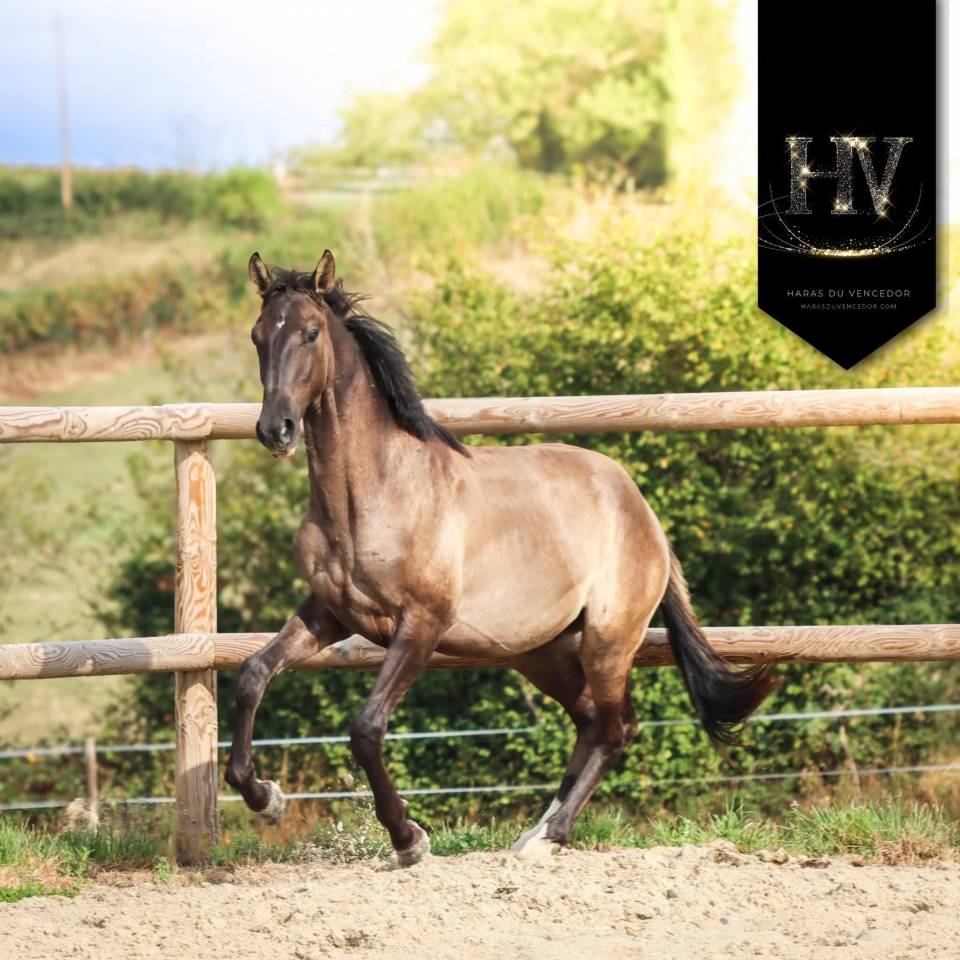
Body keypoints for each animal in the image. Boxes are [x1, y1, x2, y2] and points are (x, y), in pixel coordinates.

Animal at [225, 250, 777, 865]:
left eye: (311, 332)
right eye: (257, 337)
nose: (276, 430)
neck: (372, 494)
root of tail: (641, 508)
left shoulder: (421, 624)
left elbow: (366, 728)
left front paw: (409, 838)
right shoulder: (329, 614)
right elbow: (252, 675)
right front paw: (265, 798)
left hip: (608, 640)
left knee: (617, 728)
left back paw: (549, 837)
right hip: (542, 651)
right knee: (592, 721)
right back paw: (536, 831)